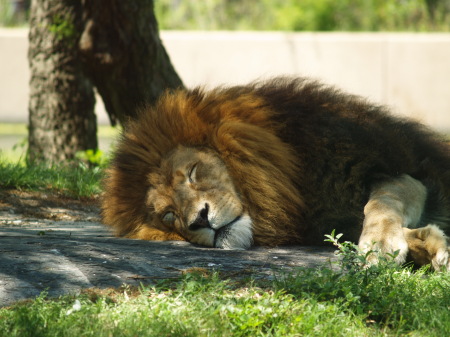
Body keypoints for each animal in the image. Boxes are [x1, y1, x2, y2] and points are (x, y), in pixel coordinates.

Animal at [101, 77, 450, 270]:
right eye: (168, 216)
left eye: (192, 172)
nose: (199, 220)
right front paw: (428, 244)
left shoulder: (403, 172)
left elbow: (380, 201)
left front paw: (380, 243)